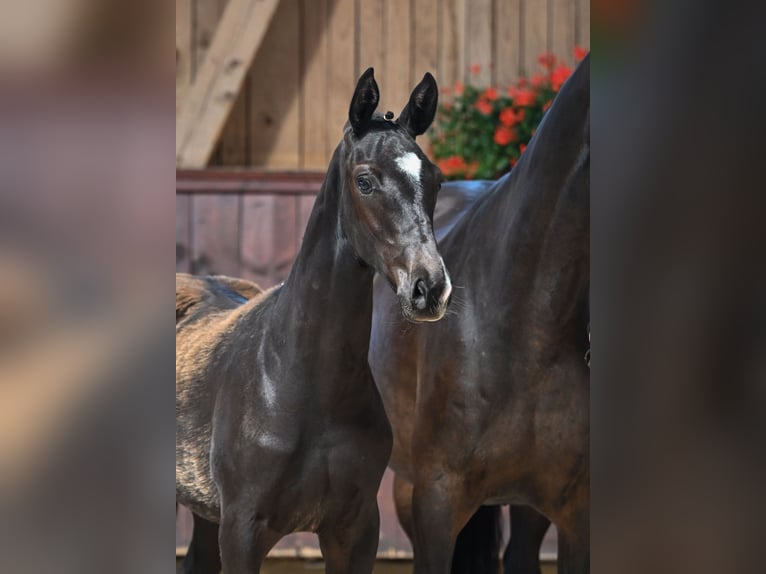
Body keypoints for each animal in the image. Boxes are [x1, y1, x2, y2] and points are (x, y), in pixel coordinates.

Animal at [176, 67, 452, 573]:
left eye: (436, 180)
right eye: (365, 181)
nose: (429, 289)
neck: (300, 382)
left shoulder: (355, 529)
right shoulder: (242, 529)